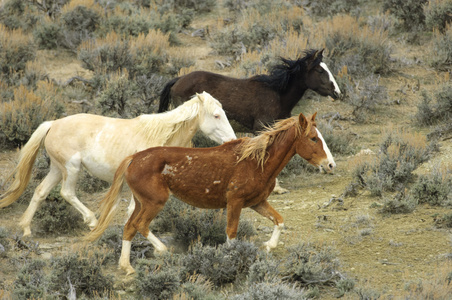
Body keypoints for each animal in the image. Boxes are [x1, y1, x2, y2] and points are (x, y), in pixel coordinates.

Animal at [0, 91, 235, 237]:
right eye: (216, 115)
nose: (232, 140)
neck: (160, 135)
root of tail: (53, 124)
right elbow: (133, 210)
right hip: (71, 168)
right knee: (67, 193)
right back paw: (92, 222)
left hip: (57, 169)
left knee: (40, 191)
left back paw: (26, 229)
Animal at [86, 112, 338, 274]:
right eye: (313, 138)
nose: (330, 165)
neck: (256, 162)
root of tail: (133, 158)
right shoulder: (235, 201)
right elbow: (231, 233)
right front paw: (230, 259)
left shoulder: (257, 202)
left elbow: (279, 220)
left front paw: (269, 245)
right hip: (154, 202)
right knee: (140, 225)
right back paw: (163, 251)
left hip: (141, 202)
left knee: (129, 227)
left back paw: (127, 267)